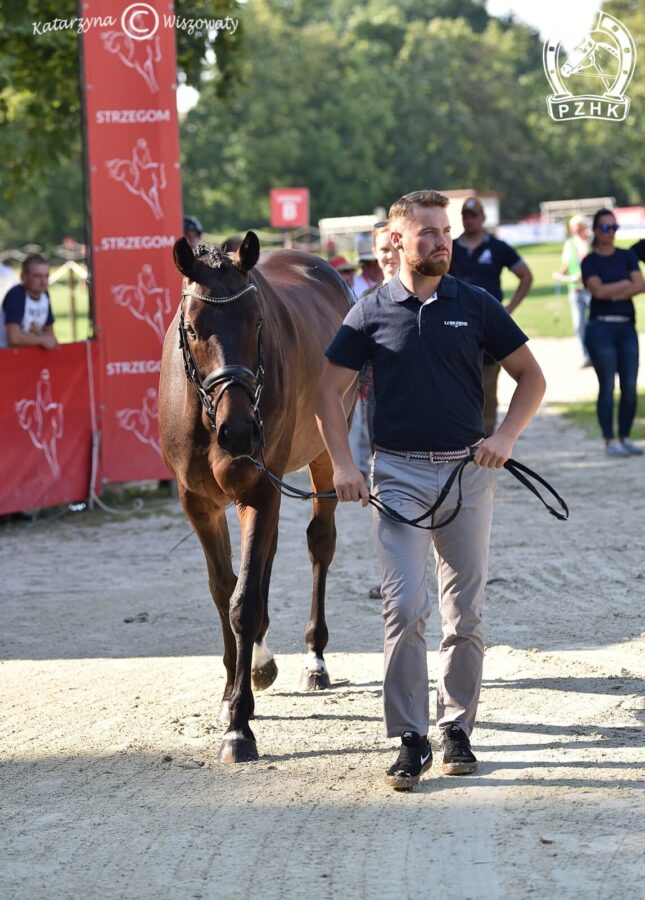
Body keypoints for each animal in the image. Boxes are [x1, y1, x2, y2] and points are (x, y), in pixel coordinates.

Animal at [159, 232, 354, 760]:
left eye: (257, 321)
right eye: (193, 327)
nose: (241, 431)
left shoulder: (259, 490)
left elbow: (243, 603)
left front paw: (239, 727)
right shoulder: (199, 504)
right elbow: (224, 588)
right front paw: (233, 689)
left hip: (324, 454)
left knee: (320, 543)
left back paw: (314, 660)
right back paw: (262, 662)